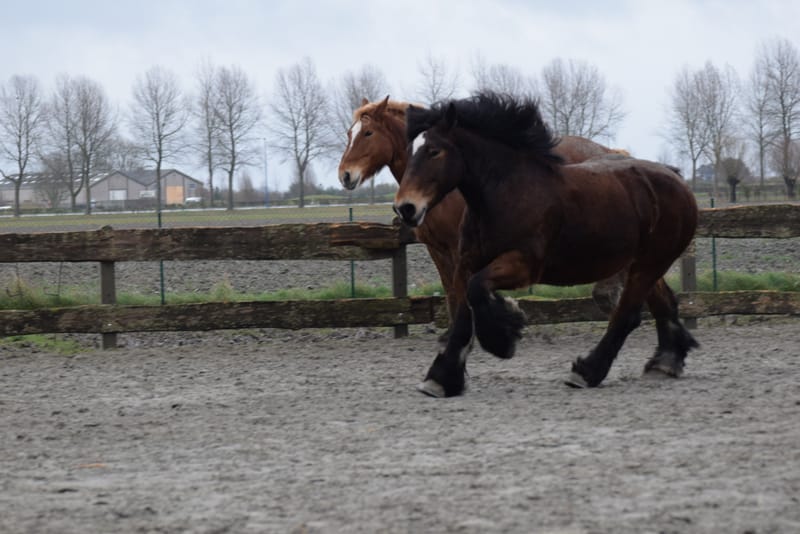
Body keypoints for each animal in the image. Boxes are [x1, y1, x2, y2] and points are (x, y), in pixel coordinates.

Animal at [337, 97, 627, 334]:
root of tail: (610, 152)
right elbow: (452, 294)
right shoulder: (438, 250)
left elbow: (462, 293)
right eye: (349, 133)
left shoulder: (460, 249)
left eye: (368, 132)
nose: (345, 175)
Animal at [393, 92, 699, 397]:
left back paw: (586, 372)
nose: (405, 208)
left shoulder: (523, 264)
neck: (507, 193)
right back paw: (666, 362)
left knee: (627, 315)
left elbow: (477, 290)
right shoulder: (465, 263)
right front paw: (441, 379)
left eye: (434, 151)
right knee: (664, 304)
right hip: (643, 263)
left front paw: (504, 337)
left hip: (650, 263)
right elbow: (463, 314)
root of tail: (677, 179)